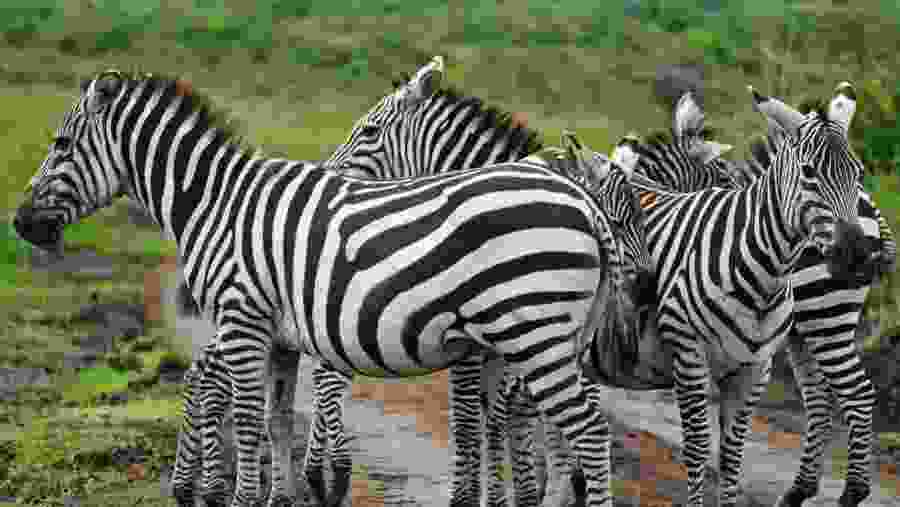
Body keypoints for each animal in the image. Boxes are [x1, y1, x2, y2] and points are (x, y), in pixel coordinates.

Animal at [12, 69, 654, 507]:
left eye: (61, 145)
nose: (20, 224)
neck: (216, 203)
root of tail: (581, 202)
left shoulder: (242, 320)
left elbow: (249, 418)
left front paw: (247, 497)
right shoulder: (277, 335)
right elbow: (277, 420)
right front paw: (281, 498)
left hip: (533, 333)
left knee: (588, 428)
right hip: (545, 336)